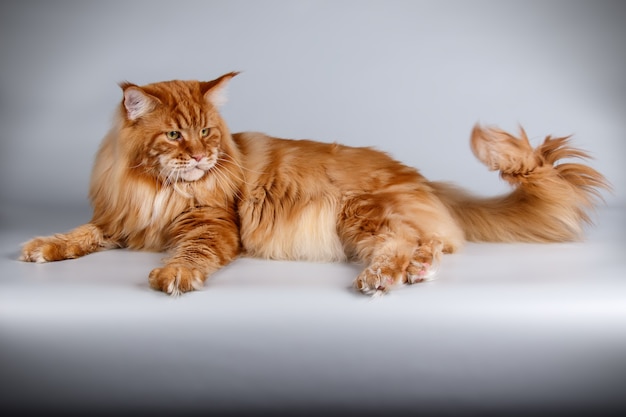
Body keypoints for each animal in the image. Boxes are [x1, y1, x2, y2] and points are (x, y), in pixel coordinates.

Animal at [19, 73, 604, 296]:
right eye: (174, 134)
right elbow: (79, 234)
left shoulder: (211, 225)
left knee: (401, 243)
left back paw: (384, 278)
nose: (202, 155)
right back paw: (418, 269)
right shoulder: (120, 219)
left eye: (206, 131)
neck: (162, 191)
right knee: (429, 243)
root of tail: (422, 178)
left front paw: (175, 274)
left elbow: (191, 253)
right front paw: (43, 246)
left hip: (359, 215)